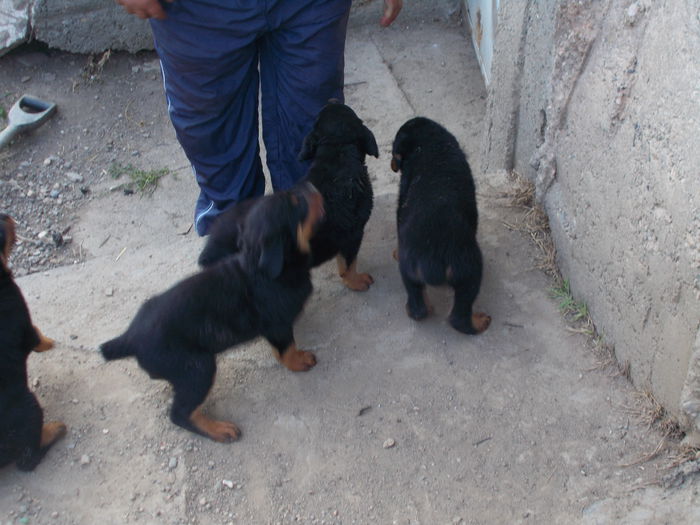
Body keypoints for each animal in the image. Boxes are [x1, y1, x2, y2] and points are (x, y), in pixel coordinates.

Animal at [0, 213, 66, 470]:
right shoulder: (22, 320)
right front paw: (49, 343)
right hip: (28, 405)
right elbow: (36, 336)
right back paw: (55, 430)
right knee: (28, 459)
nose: (7, 215)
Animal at [100, 185, 324, 442]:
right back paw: (219, 430)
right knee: (180, 413)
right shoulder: (277, 324)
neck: (259, 266)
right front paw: (300, 360)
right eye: (296, 202)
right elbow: (287, 348)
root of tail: (130, 338)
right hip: (198, 367)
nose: (311, 186)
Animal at [388, 116, 492, 334]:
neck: (427, 143)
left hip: (408, 268)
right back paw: (479, 322)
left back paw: (416, 308)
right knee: (460, 315)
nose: (392, 164)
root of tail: (431, 258)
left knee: (417, 303)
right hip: (469, 269)